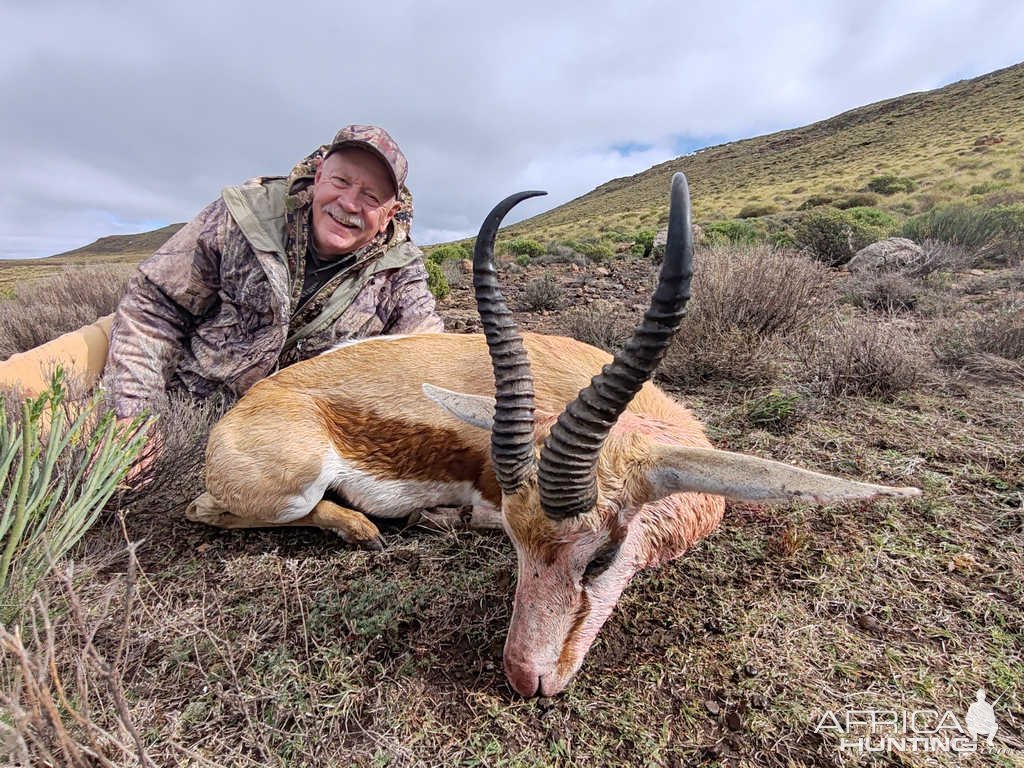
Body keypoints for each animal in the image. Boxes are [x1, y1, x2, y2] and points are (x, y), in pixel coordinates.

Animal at [190, 174, 921, 696]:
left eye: (600, 557)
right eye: (518, 546)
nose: (524, 678)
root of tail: (249, 405)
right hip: (290, 484)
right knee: (211, 510)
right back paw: (372, 528)